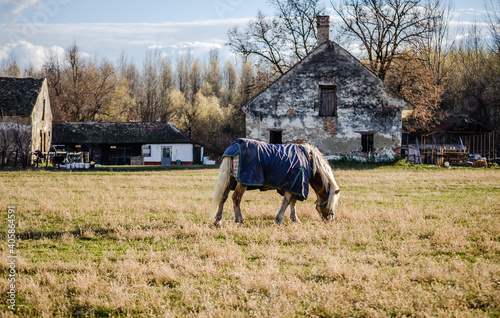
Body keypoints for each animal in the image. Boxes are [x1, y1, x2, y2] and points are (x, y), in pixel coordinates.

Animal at [211, 139, 340, 226]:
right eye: (331, 203)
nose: (331, 219)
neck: (309, 160)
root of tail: (235, 146)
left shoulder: (295, 186)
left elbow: (292, 203)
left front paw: (295, 219)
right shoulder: (295, 184)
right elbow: (287, 202)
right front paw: (279, 219)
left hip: (230, 180)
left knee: (223, 197)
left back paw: (218, 220)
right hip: (243, 182)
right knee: (236, 198)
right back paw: (240, 220)